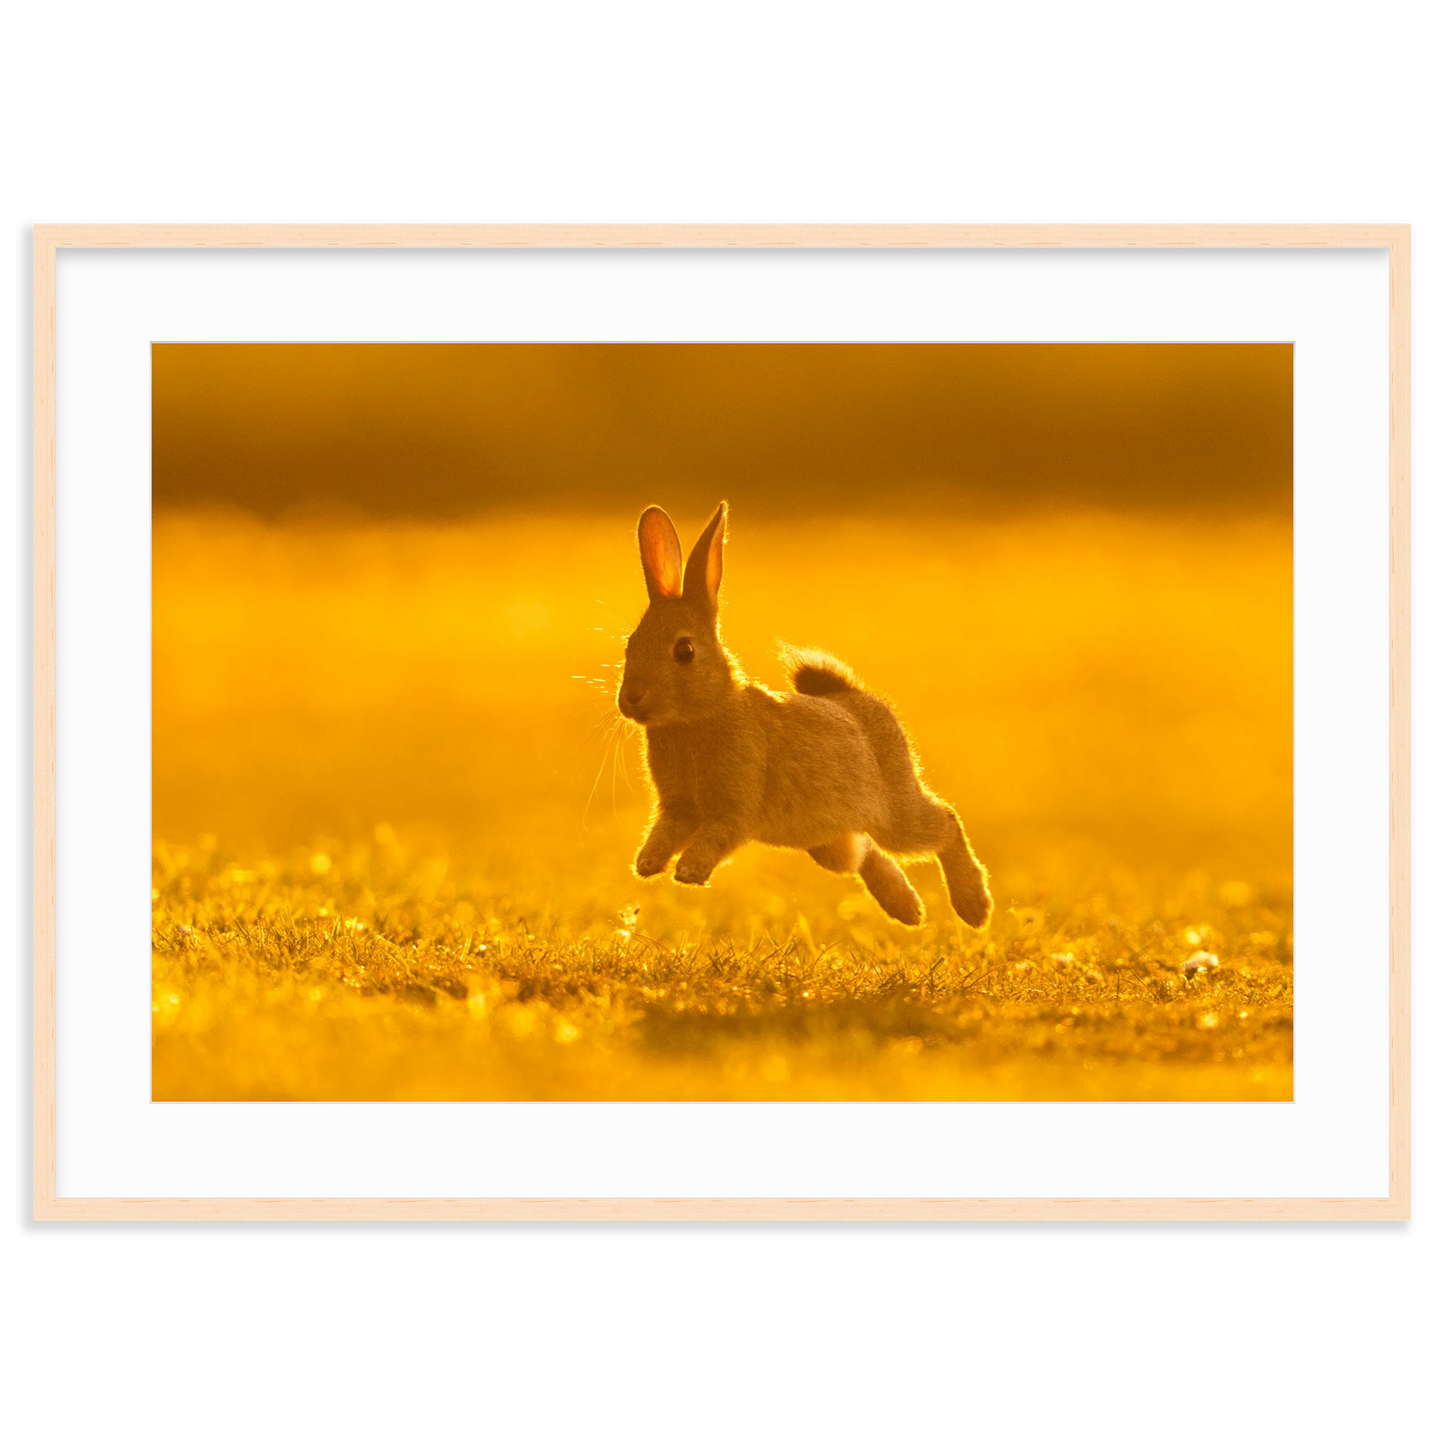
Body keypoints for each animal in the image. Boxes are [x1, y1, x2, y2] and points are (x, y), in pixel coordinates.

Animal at [616, 502, 992, 928]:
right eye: (631, 644)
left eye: (684, 651)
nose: (631, 700)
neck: (699, 716)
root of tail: (853, 696)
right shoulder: (677, 808)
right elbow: (665, 832)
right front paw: (647, 864)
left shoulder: (734, 807)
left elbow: (717, 835)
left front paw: (689, 871)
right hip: (828, 841)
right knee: (864, 852)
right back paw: (908, 910)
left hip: (894, 814)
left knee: (945, 823)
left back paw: (973, 908)